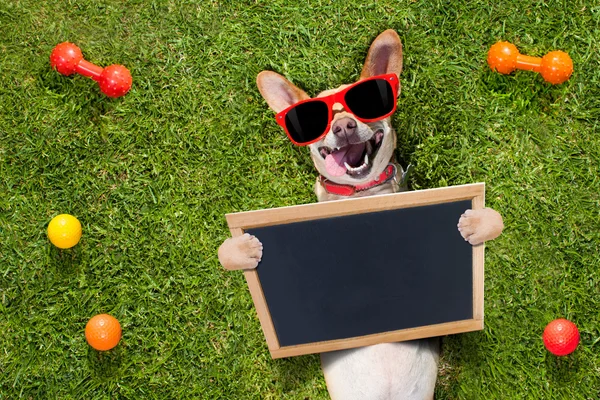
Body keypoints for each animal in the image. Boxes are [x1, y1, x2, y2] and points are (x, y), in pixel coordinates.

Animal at [218, 30, 504, 400]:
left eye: (362, 107)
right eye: (321, 121)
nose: (344, 126)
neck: (362, 193)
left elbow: (492, 219)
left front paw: (475, 222)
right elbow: (228, 251)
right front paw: (246, 248)